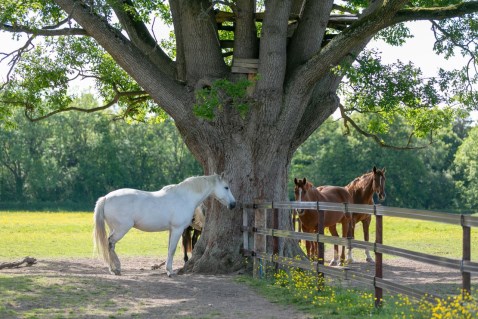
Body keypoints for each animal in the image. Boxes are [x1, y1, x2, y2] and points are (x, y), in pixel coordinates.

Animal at [93, 174, 235, 276]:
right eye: (226, 187)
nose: (233, 204)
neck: (184, 197)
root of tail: (106, 198)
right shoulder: (178, 229)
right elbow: (172, 250)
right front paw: (170, 272)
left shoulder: (172, 230)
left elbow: (169, 249)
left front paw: (168, 269)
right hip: (121, 229)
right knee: (110, 243)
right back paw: (116, 268)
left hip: (114, 228)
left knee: (110, 245)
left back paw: (113, 268)